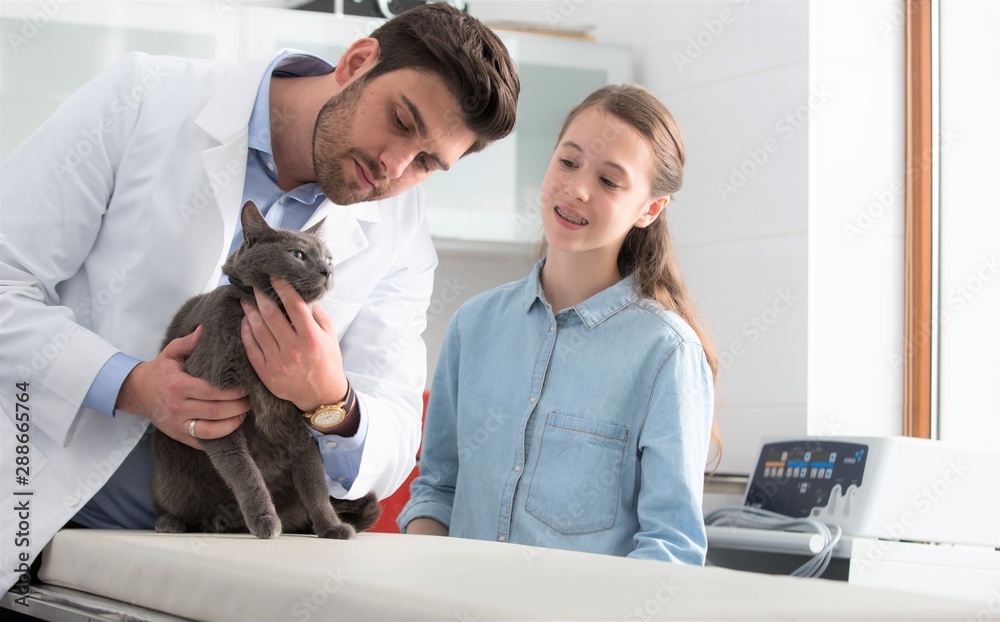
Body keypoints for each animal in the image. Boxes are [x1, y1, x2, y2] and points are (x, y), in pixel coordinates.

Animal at [150, 201, 380, 540]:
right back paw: (172, 522)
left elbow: (315, 484)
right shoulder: (214, 409)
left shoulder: (300, 426)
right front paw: (264, 520)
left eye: (328, 258)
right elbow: (244, 470)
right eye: (298, 254)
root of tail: (224, 522)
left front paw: (331, 526)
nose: (328, 271)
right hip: (170, 477)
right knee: (174, 503)